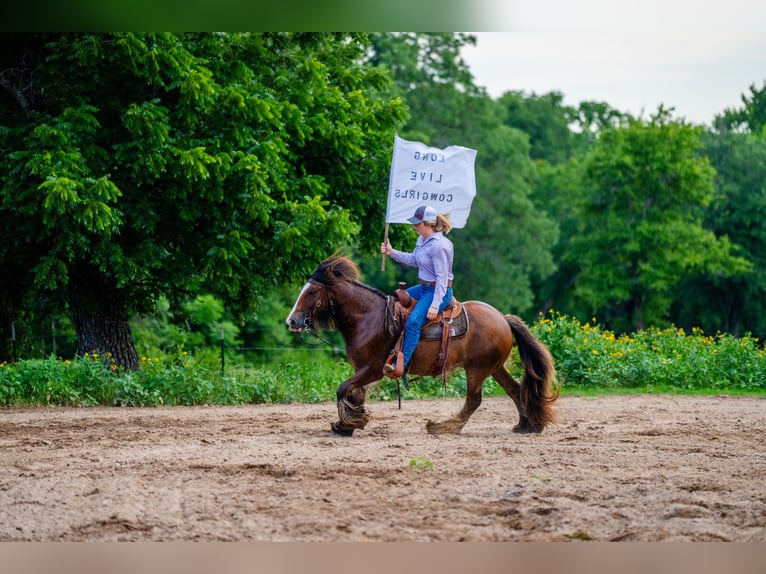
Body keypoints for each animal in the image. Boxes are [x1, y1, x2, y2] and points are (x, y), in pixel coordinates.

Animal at [285, 255, 558, 436]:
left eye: (312, 292)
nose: (292, 321)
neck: (368, 317)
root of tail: (503, 318)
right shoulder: (361, 369)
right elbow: (354, 393)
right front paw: (349, 423)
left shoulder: (373, 369)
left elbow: (343, 389)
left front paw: (347, 424)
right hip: (494, 367)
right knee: (515, 390)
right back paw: (525, 425)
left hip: (477, 369)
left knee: (474, 400)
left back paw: (442, 426)